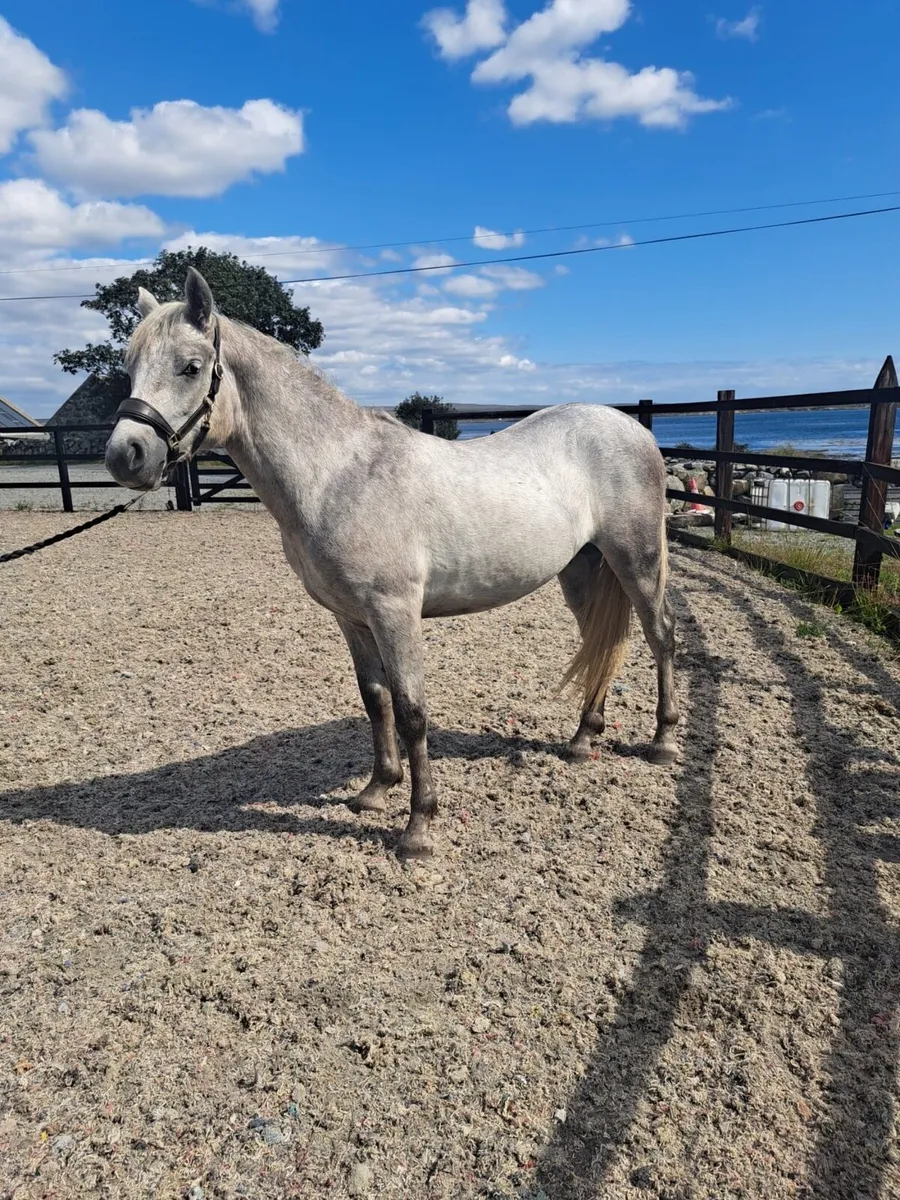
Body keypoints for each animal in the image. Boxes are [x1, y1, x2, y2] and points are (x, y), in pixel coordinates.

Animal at [105, 267, 678, 860]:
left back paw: (661, 741)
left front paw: (418, 827)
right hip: (581, 570)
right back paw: (583, 738)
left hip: (636, 562)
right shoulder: (352, 618)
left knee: (660, 634)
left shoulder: (394, 612)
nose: (125, 455)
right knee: (604, 642)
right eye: (129, 368)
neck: (338, 475)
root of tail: (635, 431)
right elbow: (375, 700)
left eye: (191, 367)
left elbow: (411, 711)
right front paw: (376, 791)